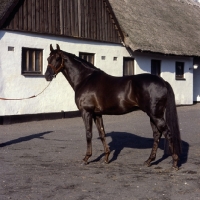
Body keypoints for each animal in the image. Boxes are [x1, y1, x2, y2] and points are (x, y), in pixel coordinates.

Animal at [45, 44, 181, 170]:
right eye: (48, 58)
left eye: (58, 58)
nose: (47, 75)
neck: (85, 79)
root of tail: (163, 82)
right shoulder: (97, 114)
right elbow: (102, 134)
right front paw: (106, 158)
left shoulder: (86, 112)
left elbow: (88, 134)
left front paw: (86, 158)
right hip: (152, 115)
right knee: (157, 135)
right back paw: (149, 161)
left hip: (155, 115)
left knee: (167, 134)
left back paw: (174, 163)